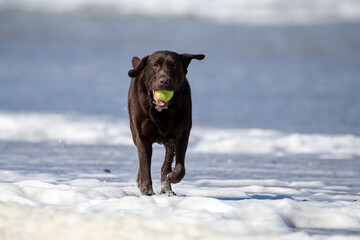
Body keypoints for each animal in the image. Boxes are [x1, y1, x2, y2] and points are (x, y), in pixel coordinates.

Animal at [128, 50, 204, 195]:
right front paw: (147, 191)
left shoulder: (180, 135)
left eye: (174, 66)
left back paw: (167, 188)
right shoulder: (142, 137)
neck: (161, 111)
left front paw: (171, 179)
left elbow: (179, 166)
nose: (164, 81)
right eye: (155, 65)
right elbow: (145, 163)